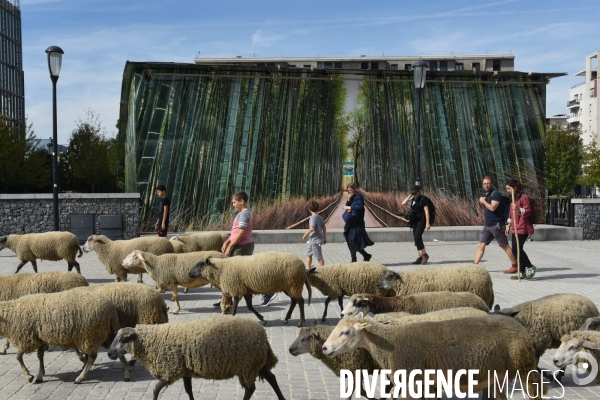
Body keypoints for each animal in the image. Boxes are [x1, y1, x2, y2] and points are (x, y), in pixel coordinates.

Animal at [107, 318, 286, 398]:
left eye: (123, 338)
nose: (109, 353)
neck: (153, 340)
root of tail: (263, 336)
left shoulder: (171, 370)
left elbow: (156, 389)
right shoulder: (185, 371)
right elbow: (188, 390)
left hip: (247, 366)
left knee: (251, 389)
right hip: (256, 364)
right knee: (272, 378)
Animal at [324, 314, 548, 398]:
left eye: (345, 332)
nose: (325, 348)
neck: (392, 342)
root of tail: (520, 327)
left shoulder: (409, 381)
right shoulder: (424, 383)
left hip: (525, 368)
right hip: (498, 376)